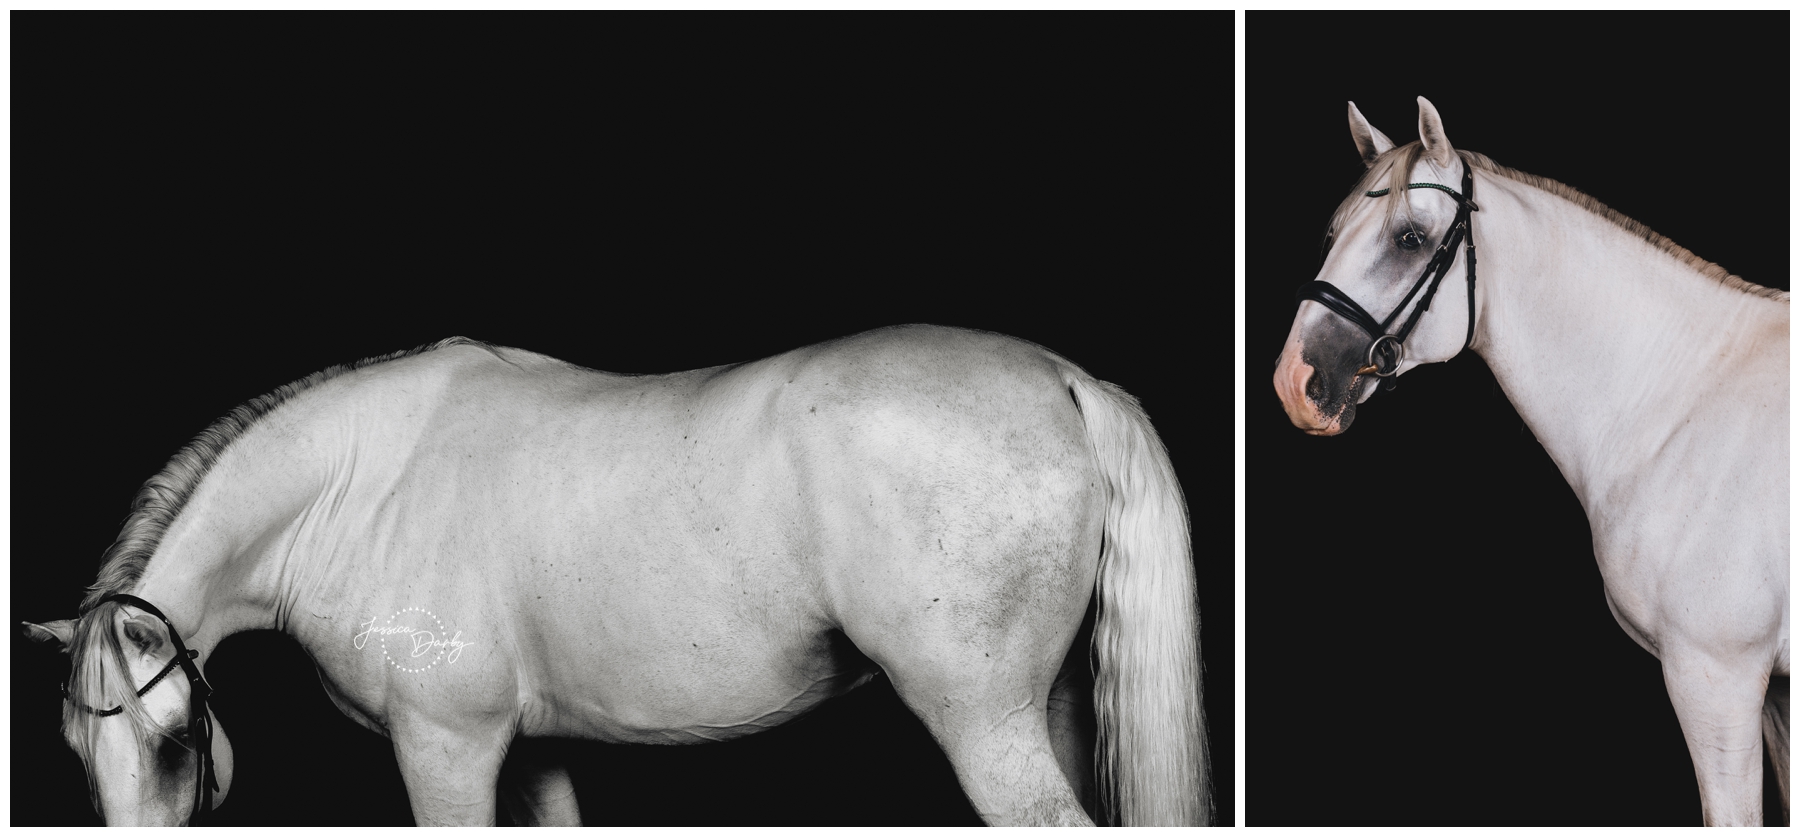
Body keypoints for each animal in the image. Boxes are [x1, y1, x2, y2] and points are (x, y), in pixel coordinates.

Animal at [21, 324, 1205, 826]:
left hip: (981, 722)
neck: (365, 482)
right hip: (1047, 709)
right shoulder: (533, 749)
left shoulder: (444, 750)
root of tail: (1059, 378)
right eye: (79, 753)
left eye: (176, 742)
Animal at [1273, 97, 1788, 826]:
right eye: (1334, 233)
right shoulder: (1773, 693)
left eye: (1409, 238)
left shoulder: (1717, 678)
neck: (1685, 400)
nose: (1295, 381)